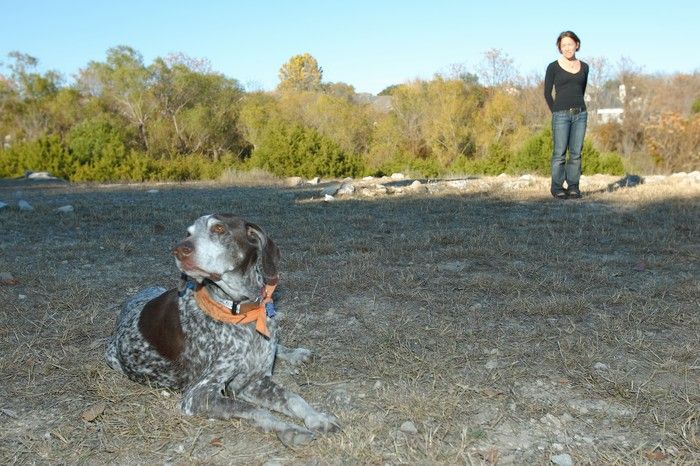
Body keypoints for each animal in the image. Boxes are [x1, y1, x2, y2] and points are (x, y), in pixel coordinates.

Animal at [104, 213, 342, 446]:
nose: (179, 249)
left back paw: (296, 353)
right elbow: (255, 410)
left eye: (219, 229)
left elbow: (294, 398)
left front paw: (317, 417)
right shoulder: (200, 395)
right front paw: (290, 429)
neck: (241, 312)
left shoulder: (255, 381)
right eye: (188, 233)